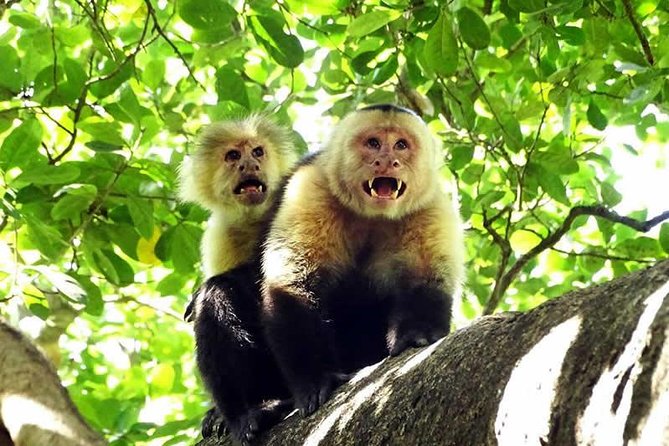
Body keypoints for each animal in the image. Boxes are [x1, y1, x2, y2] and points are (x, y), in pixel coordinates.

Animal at [260, 103, 464, 414]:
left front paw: (418, 334)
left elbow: (426, 279)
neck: (372, 215)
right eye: (374, 143)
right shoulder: (311, 186)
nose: (388, 161)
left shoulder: (430, 204)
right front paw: (316, 379)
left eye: (401, 145)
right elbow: (293, 284)